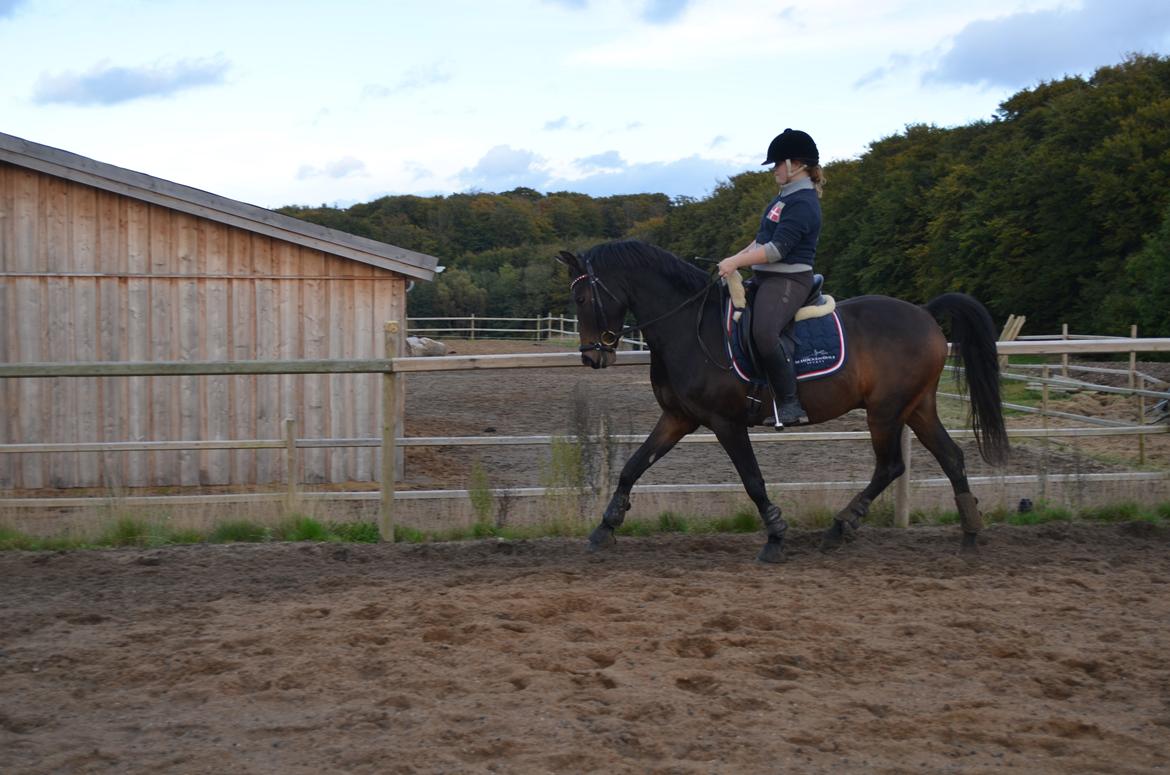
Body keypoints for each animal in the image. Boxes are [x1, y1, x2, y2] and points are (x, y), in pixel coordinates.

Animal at [554, 239, 1006, 561]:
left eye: (581, 299)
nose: (592, 356)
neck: (689, 328)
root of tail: (925, 313)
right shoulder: (678, 418)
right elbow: (633, 466)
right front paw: (605, 529)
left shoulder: (725, 422)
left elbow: (753, 480)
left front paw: (774, 537)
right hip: (917, 407)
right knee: (950, 457)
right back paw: (969, 534)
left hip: (885, 412)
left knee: (891, 466)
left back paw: (841, 527)